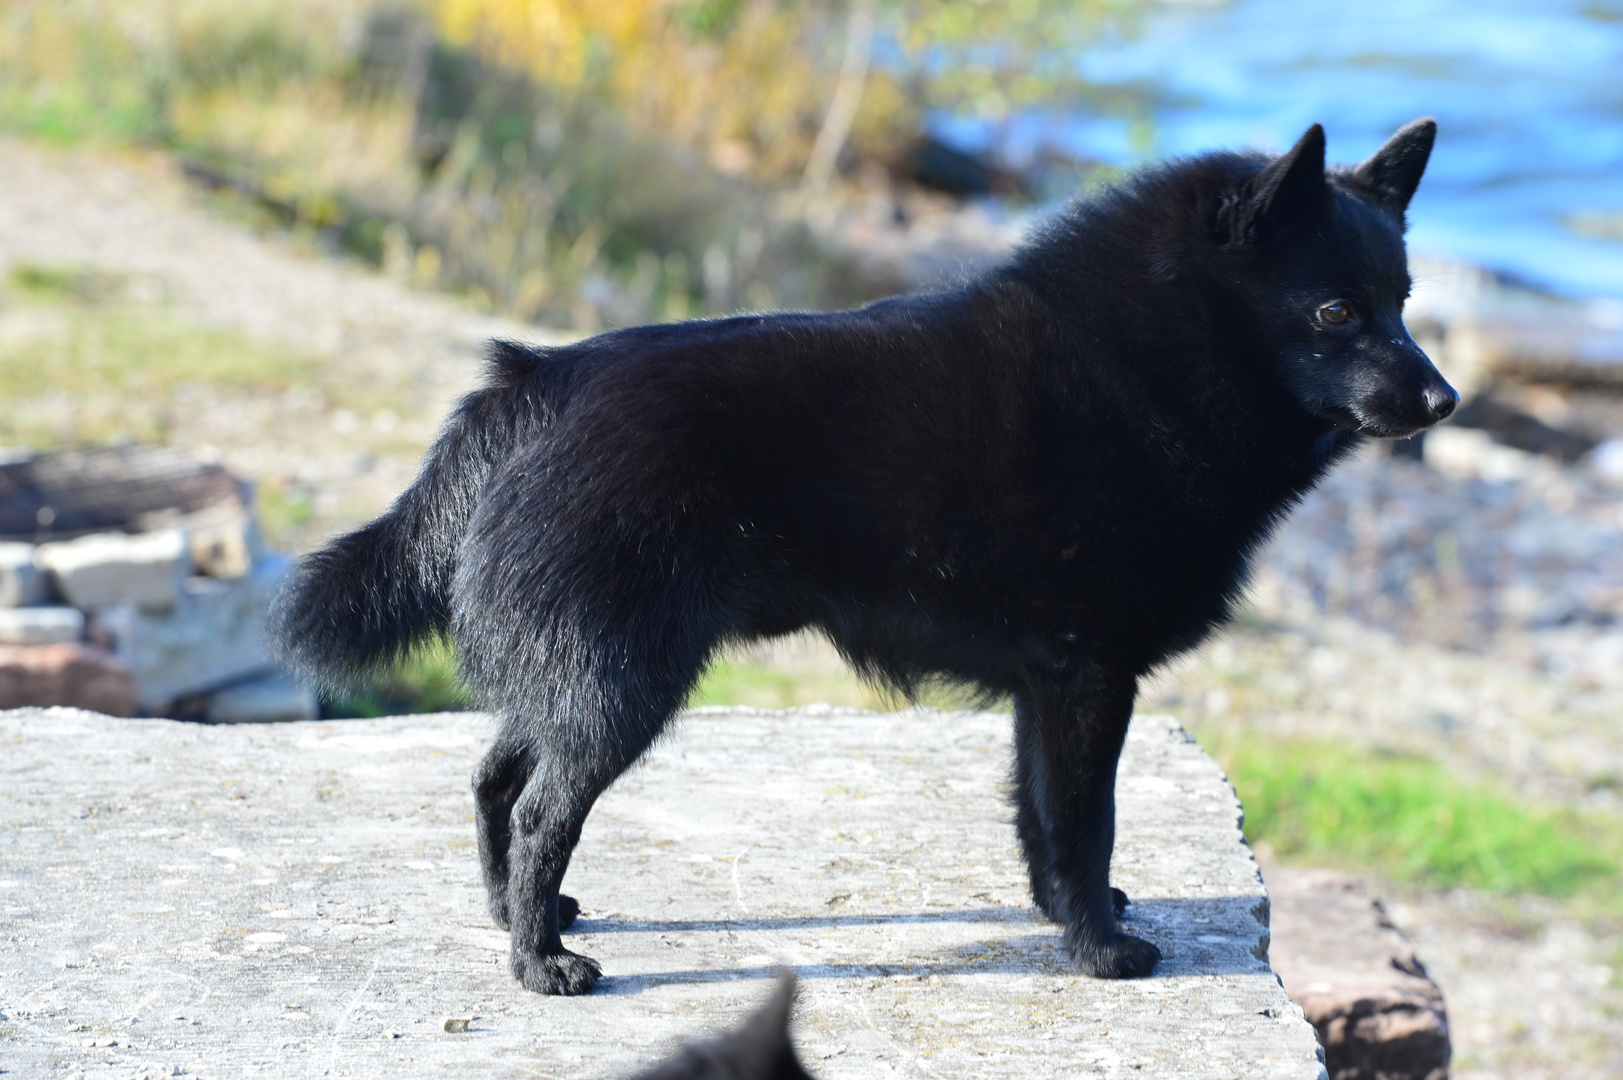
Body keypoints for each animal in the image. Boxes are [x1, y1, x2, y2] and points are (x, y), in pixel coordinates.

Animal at [269, 117, 1460, 993]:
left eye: (1403, 302)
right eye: (1335, 309)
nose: (1446, 399)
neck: (1142, 367)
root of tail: (535, 378)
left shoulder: (1048, 685)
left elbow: (1041, 821)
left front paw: (1066, 921)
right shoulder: (1088, 676)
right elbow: (1087, 823)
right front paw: (1098, 950)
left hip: (578, 670)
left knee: (492, 778)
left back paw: (513, 913)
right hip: (621, 680)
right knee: (537, 807)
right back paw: (540, 963)